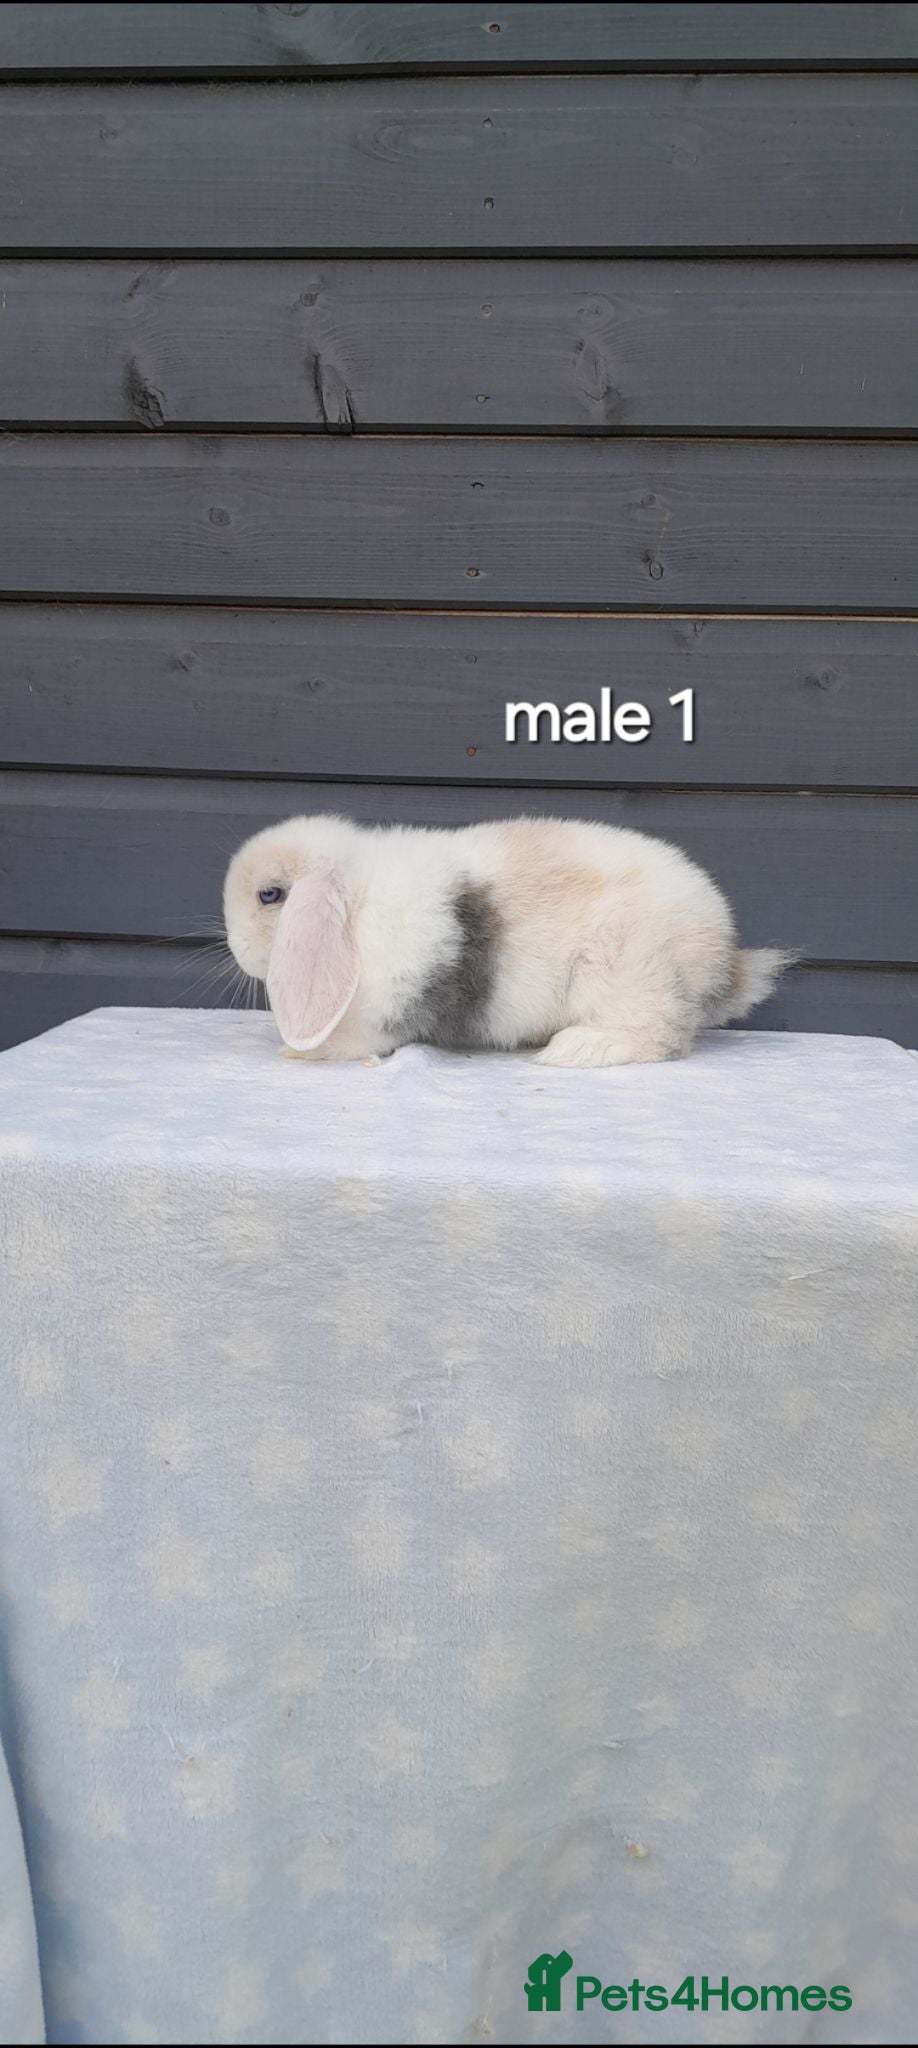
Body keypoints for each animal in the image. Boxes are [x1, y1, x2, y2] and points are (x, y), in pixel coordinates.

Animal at [223, 813, 793, 1068]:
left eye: (270, 895)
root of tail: (720, 954)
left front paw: (298, 1052)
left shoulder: (382, 1012)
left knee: (662, 1036)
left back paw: (578, 1049)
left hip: (628, 975)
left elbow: (355, 1042)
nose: (235, 947)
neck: (358, 907)